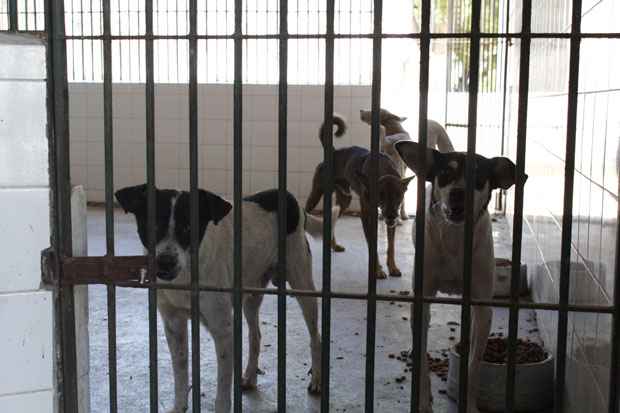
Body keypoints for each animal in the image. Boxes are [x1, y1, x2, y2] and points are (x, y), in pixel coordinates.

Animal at [116, 185, 340, 410]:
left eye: (188, 227)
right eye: (152, 225)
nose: (165, 263)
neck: (186, 276)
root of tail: (289, 198)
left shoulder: (223, 331)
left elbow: (223, 389)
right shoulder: (174, 325)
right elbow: (180, 375)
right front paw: (179, 407)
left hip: (303, 286)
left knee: (315, 337)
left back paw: (317, 379)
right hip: (251, 297)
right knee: (255, 336)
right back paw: (250, 377)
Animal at [306, 114, 412, 278]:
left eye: (398, 195)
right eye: (380, 195)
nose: (391, 216)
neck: (383, 169)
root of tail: (333, 152)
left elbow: (391, 246)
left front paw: (393, 268)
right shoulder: (366, 216)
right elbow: (372, 246)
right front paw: (377, 271)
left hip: (344, 200)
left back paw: (334, 245)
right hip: (316, 193)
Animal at [394, 141, 524, 412]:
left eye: (479, 176)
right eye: (445, 173)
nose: (458, 193)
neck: (455, 239)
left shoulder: (482, 307)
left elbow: (473, 367)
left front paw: (469, 404)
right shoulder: (422, 299)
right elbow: (422, 361)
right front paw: (423, 403)